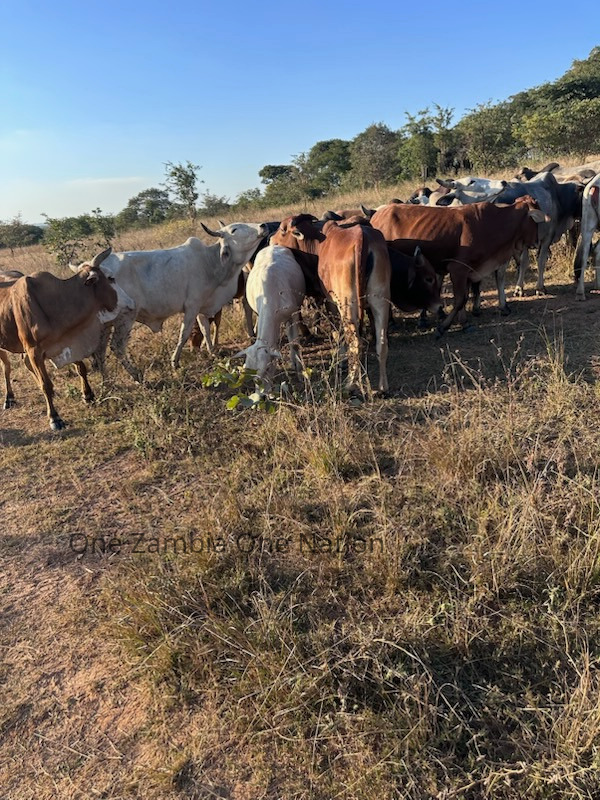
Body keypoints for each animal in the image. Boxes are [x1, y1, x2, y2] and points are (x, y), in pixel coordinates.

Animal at [0, 249, 134, 430]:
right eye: (111, 278)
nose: (131, 303)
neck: (55, 303)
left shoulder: (66, 341)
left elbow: (81, 368)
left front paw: (88, 395)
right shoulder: (34, 350)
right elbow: (46, 384)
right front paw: (54, 417)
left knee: (26, 365)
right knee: (6, 368)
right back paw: (9, 398)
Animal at [71, 223, 267, 383]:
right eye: (234, 230)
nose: (263, 226)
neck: (210, 262)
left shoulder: (202, 305)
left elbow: (205, 329)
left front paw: (212, 351)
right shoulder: (192, 306)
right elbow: (184, 334)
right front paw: (175, 362)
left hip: (106, 324)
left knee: (100, 351)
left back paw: (107, 382)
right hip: (125, 317)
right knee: (117, 347)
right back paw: (136, 376)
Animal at [271, 215, 391, 393]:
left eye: (283, 230)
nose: (270, 240)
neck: (319, 245)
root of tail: (361, 238)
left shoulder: (331, 303)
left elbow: (337, 333)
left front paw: (341, 360)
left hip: (347, 305)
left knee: (356, 343)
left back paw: (350, 384)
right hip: (380, 300)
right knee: (381, 343)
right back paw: (383, 387)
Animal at [369, 198, 548, 336]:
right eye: (535, 221)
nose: (537, 241)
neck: (491, 224)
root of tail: (376, 215)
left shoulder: (469, 271)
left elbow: (465, 297)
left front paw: (464, 323)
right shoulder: (457, 269)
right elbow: (460, 299)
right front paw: (443, 327)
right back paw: (391, 322)